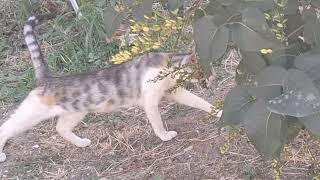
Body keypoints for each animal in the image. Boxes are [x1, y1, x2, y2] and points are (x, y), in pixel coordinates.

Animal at [0, 14, 218, 162]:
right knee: (6, 128)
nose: (212, 81)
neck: (168, 65)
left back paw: (81, 143)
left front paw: (218, 111)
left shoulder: (176, 92)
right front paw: (165, 136)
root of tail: (47, 79)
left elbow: (199, 102)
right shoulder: (150, 100)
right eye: (204, 73)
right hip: (31, 114)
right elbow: (157, 121)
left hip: (75, 113)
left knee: (60, 128)